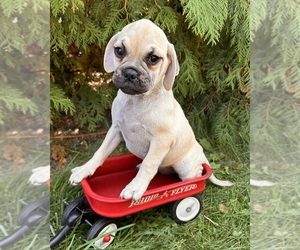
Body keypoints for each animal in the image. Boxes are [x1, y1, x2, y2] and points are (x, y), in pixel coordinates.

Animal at [69, 18, 232, 200]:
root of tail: (202, 157)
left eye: (154, 58)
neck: (137, 100)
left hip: (185, 166)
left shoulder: (161, 140)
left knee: (194, 174)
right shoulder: (115, 129)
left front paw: (135, 187)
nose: (130, 73)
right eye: (119, 51)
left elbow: (150, 163)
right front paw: (84, 169)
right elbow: (100, 152)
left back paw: (190, 186)